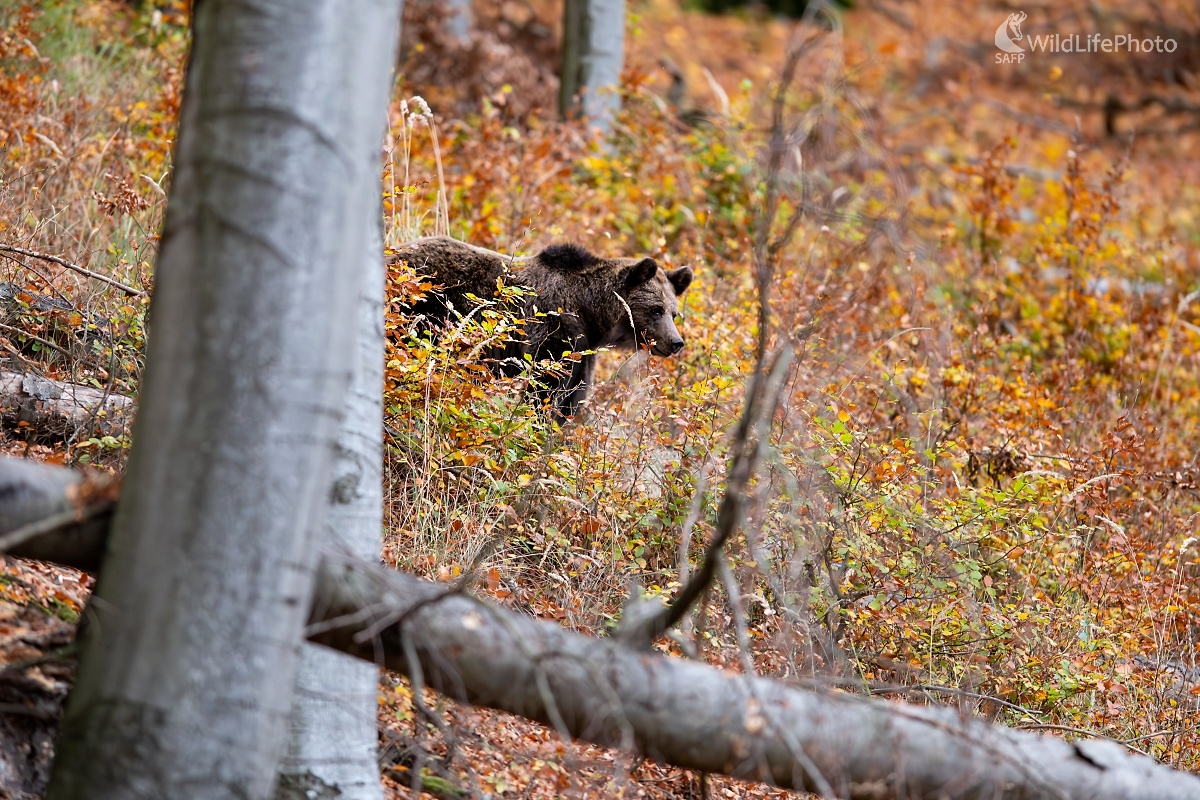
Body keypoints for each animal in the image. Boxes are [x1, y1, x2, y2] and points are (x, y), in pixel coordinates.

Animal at [393, 236, 696, 419]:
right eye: (655, 310)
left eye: (674, 313)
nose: (676, 342)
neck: (590, 313)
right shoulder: (554, 329)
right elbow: (544, 387)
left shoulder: (583, 352)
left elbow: (572, 397)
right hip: (422, 307)